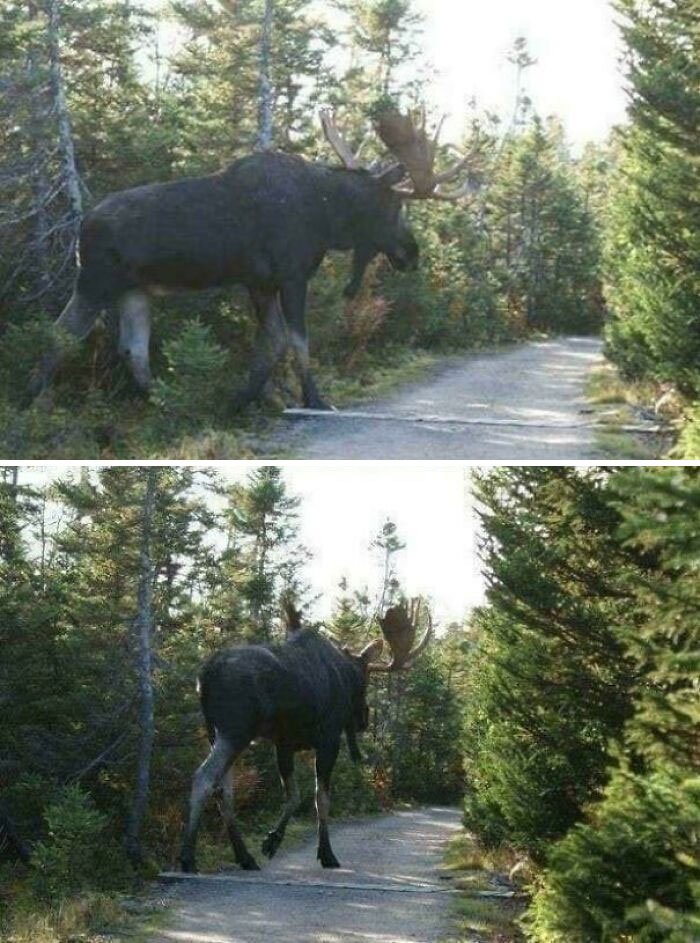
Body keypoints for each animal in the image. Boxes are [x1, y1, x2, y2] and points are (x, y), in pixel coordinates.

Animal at [34, 108, 479, 411]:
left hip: (135, 290)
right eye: (394, 207)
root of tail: (81, 227)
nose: (412, 252)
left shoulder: (259, 280)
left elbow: (272, 340)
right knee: (58, 335)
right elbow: (296, 339)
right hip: (95, 281)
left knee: (133, 350)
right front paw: (313, 398)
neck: (327, 216)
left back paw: (166, 402)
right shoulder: (292, 275)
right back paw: (36, 402)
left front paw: (252, 398)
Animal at [179, 598, 432, 873]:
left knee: (224, 789)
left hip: (215, 732)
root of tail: (204, 676)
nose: (364, 719)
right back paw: (188, 858)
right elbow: (320, 798)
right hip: (235, 730)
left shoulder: (284, 743)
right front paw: (326, 853)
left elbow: (294, 795)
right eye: (364, 681)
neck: (344, 672)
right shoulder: (328, 740)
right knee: (204, 777)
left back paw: (245, 857)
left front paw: (272, 841)